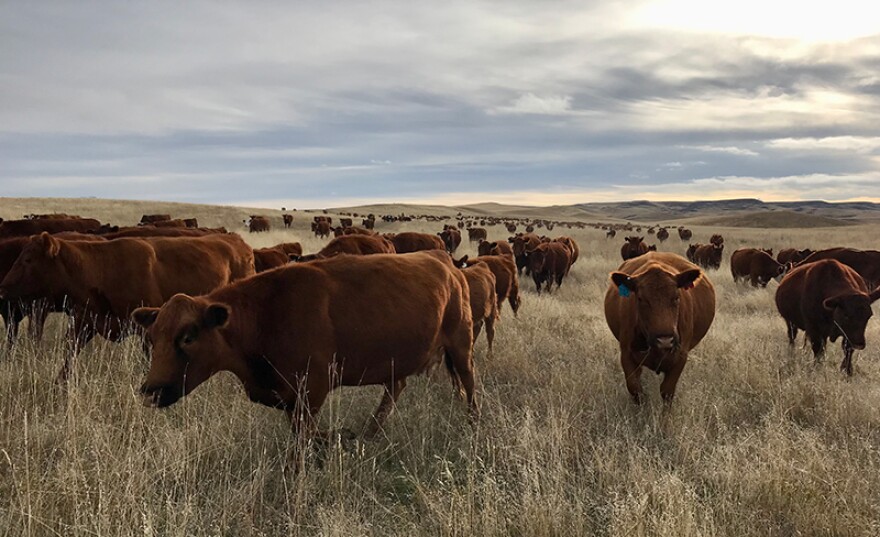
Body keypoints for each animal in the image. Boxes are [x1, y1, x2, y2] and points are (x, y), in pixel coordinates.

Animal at [0, 233, 255, 381]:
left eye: (28, 259)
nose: (3, 287)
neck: (102, 268)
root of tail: (240, 244)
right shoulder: (84, 323)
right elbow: (68, 359)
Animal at [132, 252, 478, 450]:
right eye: (153, 337)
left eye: (188, 337)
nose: (151, 390)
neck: (265, 313)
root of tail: (449, 267)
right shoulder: (291, 397)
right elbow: (307, 434)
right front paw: (341, 437)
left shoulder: (312, 391)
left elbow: (302, 441)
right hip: (399, 363)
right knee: (396, 388)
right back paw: (369, 433)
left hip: (461, 345)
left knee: (469, 384)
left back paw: (472, 424)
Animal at [604, 252, 716, 403]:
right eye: (641, 299)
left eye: (676, 297)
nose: (665, 340)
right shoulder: (627, 354)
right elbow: (635, 389)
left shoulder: (680, 356)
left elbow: (667, 391)